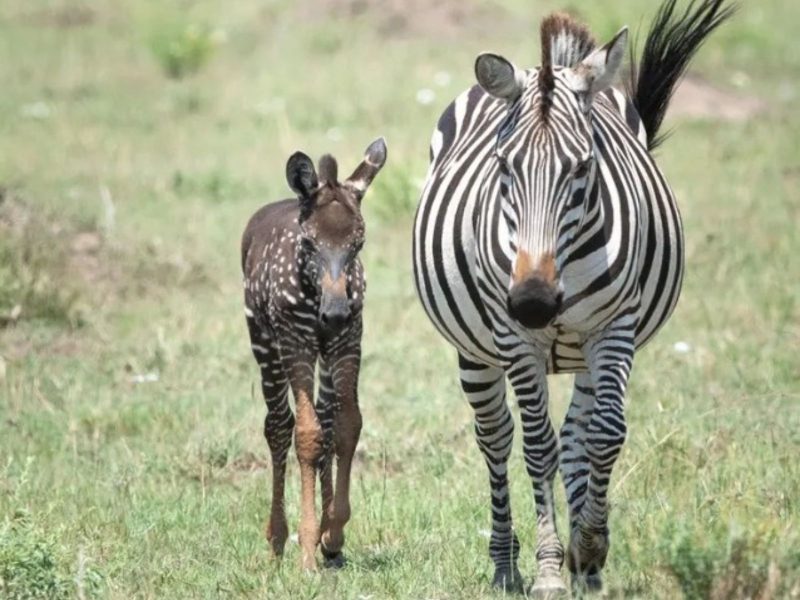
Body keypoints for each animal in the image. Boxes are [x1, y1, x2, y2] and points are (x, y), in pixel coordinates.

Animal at [242, 138, 386, 568]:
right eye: (308, 243)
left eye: (358, 244)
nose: (334, 313)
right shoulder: (297, 342)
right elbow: (306, 434)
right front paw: (307, 548)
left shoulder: (347, 342)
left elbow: (346, 426)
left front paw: (333, 533)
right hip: (265, 344)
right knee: (278, 425)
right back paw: (277, 539)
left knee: (324, 415)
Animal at [412, 0, 732, 596]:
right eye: (503, 166)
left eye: (583, 167)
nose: (534, 303)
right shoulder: (515, 339)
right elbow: (538, 447)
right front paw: (548, 569)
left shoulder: (615, 328)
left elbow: (605, 435)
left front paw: (588, 548)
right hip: (476, 351)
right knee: (496, 438)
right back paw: (505, 564)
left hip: (585, 350)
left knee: (580, 433)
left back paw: (586, 564)